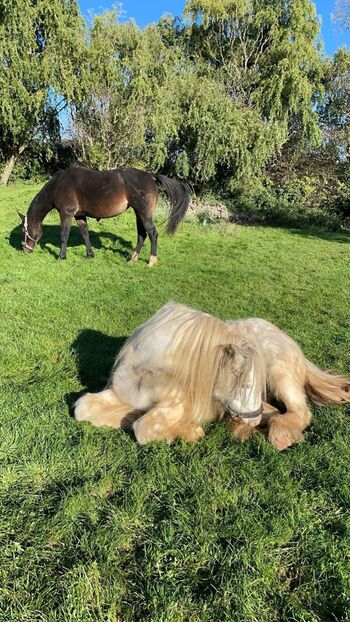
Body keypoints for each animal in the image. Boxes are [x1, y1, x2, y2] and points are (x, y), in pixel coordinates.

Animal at [18, 166, 190, 266]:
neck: (58, 185)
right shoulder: (80, 216)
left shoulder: (66, 214)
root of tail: (151, 176)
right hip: (138, 213)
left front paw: (61, 257)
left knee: (152, 233)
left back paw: (152, 261)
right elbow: (85, 234)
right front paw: (90, 255)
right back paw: (133, 258)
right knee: (142, 234)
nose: (24, 249)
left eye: (24, 230)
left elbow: (64, 235)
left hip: (144, 213)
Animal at [74, 302, 350, 448]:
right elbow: (83, 408)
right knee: (273, 411)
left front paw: (188, 431)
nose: (253, 419)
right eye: (245, 384)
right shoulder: (120, 393)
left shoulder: (178, 402)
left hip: (279, 374)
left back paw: (278, 434)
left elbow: (143, 428)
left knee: (298, 411)